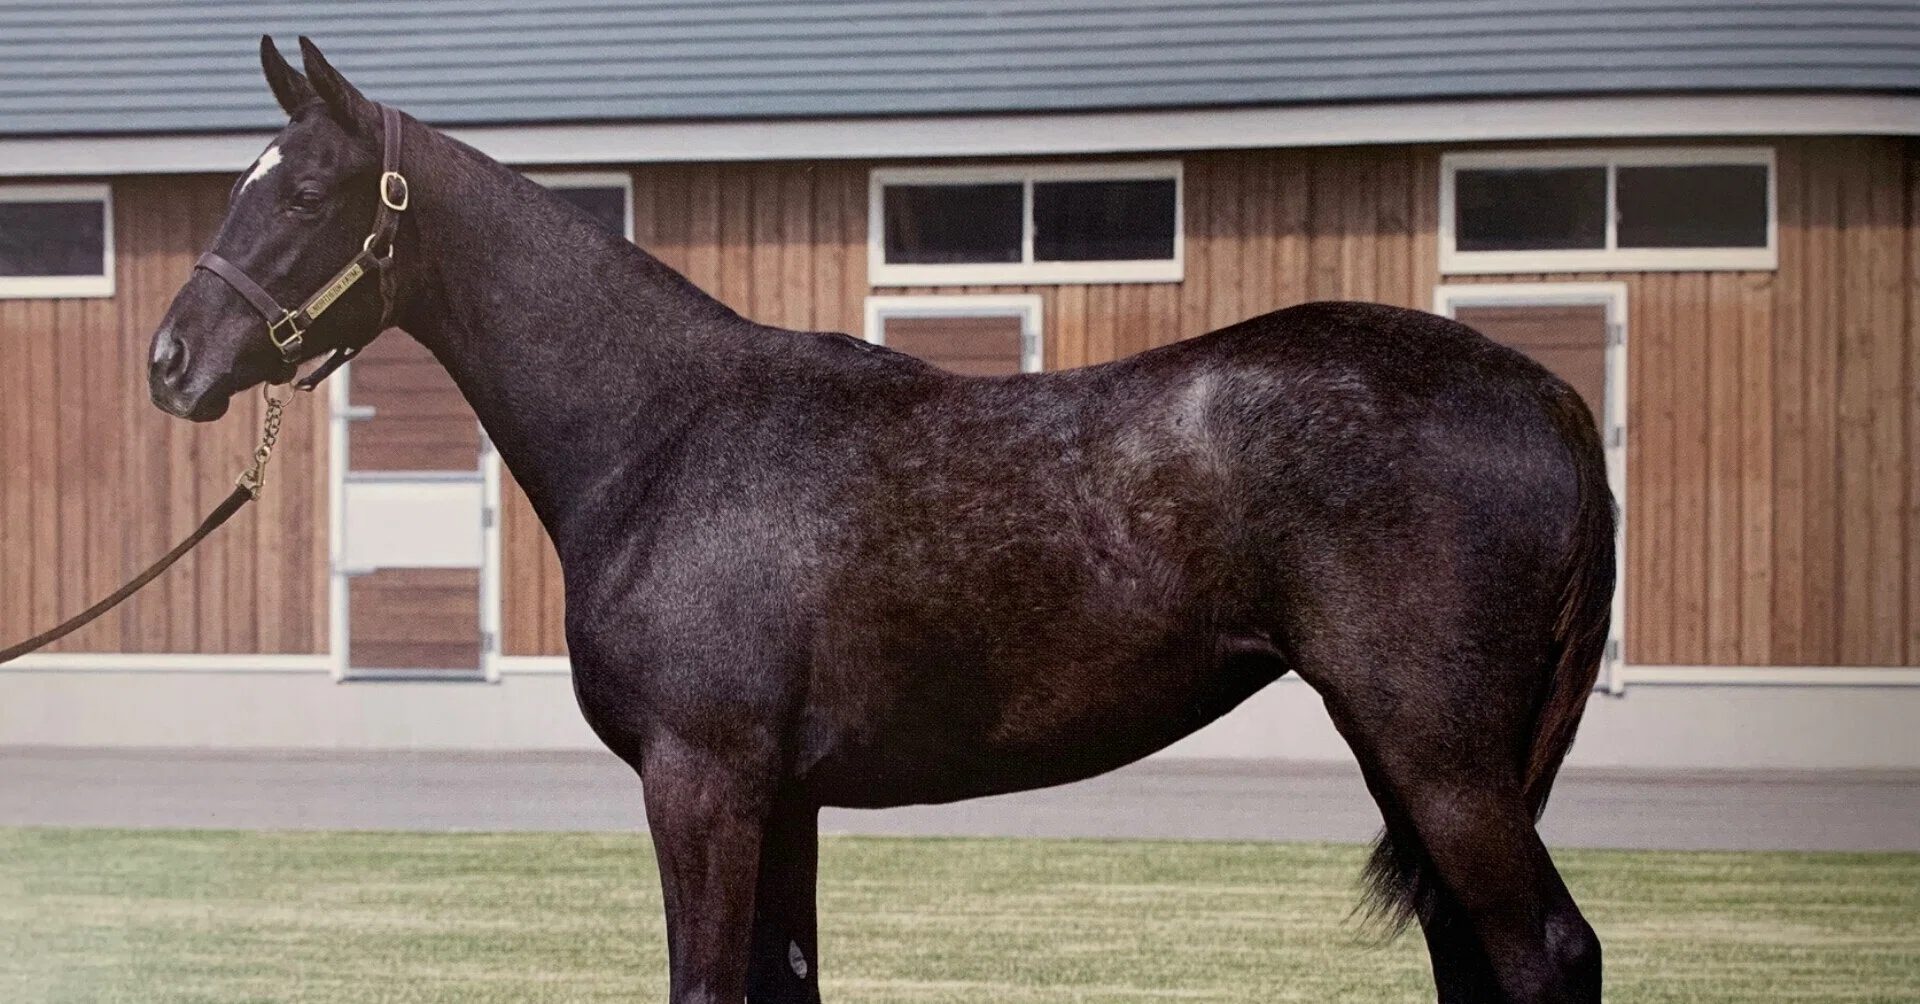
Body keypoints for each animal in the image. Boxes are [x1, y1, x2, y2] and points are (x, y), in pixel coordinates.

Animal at [145, 36, 1614, 1004]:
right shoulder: (782, 800)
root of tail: (1546, 394)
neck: (667, 436)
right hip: (1414, 760)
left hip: (1440, 759)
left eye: (302, 191)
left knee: (1546, 957)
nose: (172, 361)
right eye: (242, 183)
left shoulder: (700, 785)